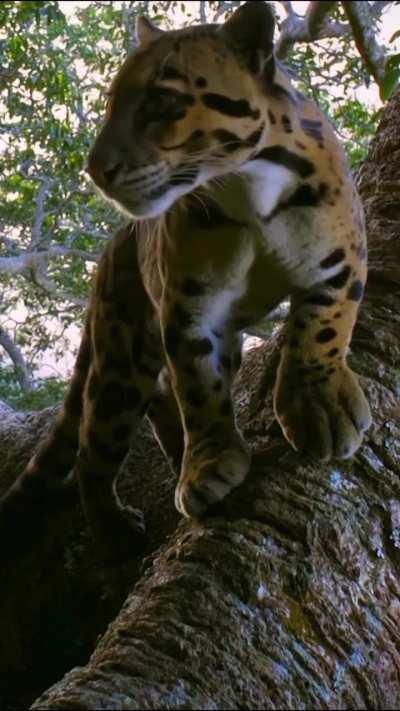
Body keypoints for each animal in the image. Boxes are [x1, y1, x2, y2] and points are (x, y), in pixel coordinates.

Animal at [0, 2, 371, 562]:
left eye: (162, 101)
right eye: (111, 105)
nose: (95, 171)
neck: (246, 188)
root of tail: (112, 249)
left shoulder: (339, 257)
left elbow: (322, 329)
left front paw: (319, 407)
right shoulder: (190, 307)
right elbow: (200, 383)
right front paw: (209, 463)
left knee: (155, 399)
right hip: (121, 354)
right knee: (94, 446)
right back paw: (114, 528)